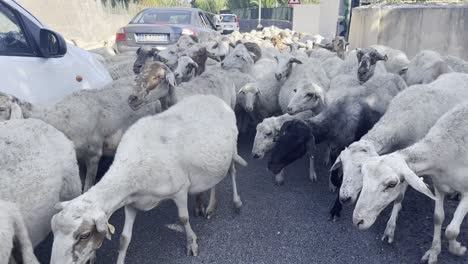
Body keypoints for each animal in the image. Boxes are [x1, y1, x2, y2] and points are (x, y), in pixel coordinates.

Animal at [50, 95, 247, 264]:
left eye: (84, 235)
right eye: (53, 232)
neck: (131, 169)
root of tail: (214, 98)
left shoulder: (180, 189)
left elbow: (183, 219)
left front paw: (191, 244)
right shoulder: (131, 203)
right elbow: (124, 239)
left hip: (231, 150)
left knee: (232, 172)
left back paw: (236, 202)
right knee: (215, 181)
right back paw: (211, 207)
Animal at [334, 72, 468, 243]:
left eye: (360, 169)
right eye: (343, 166)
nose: (344, 198)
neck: (399, 117)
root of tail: (461, 73)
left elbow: (399, 197)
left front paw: (390, 228)